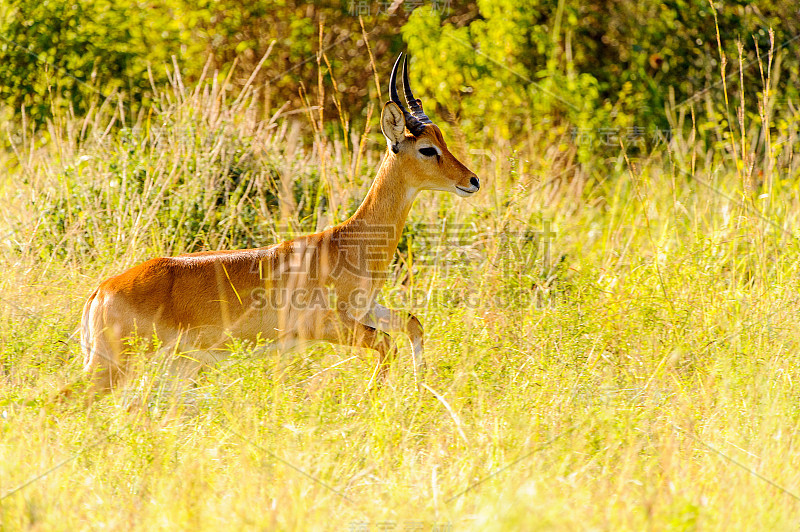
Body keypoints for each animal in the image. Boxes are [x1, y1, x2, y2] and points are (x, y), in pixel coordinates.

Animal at [72, 55, 478, 404]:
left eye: (441, 139)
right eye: (427, 149)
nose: (472, 180)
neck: (348, 243)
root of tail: (100, 291)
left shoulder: (366, 308)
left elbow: (412, 323)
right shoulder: (328, 326)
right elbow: (387, 345)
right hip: (112, 367)